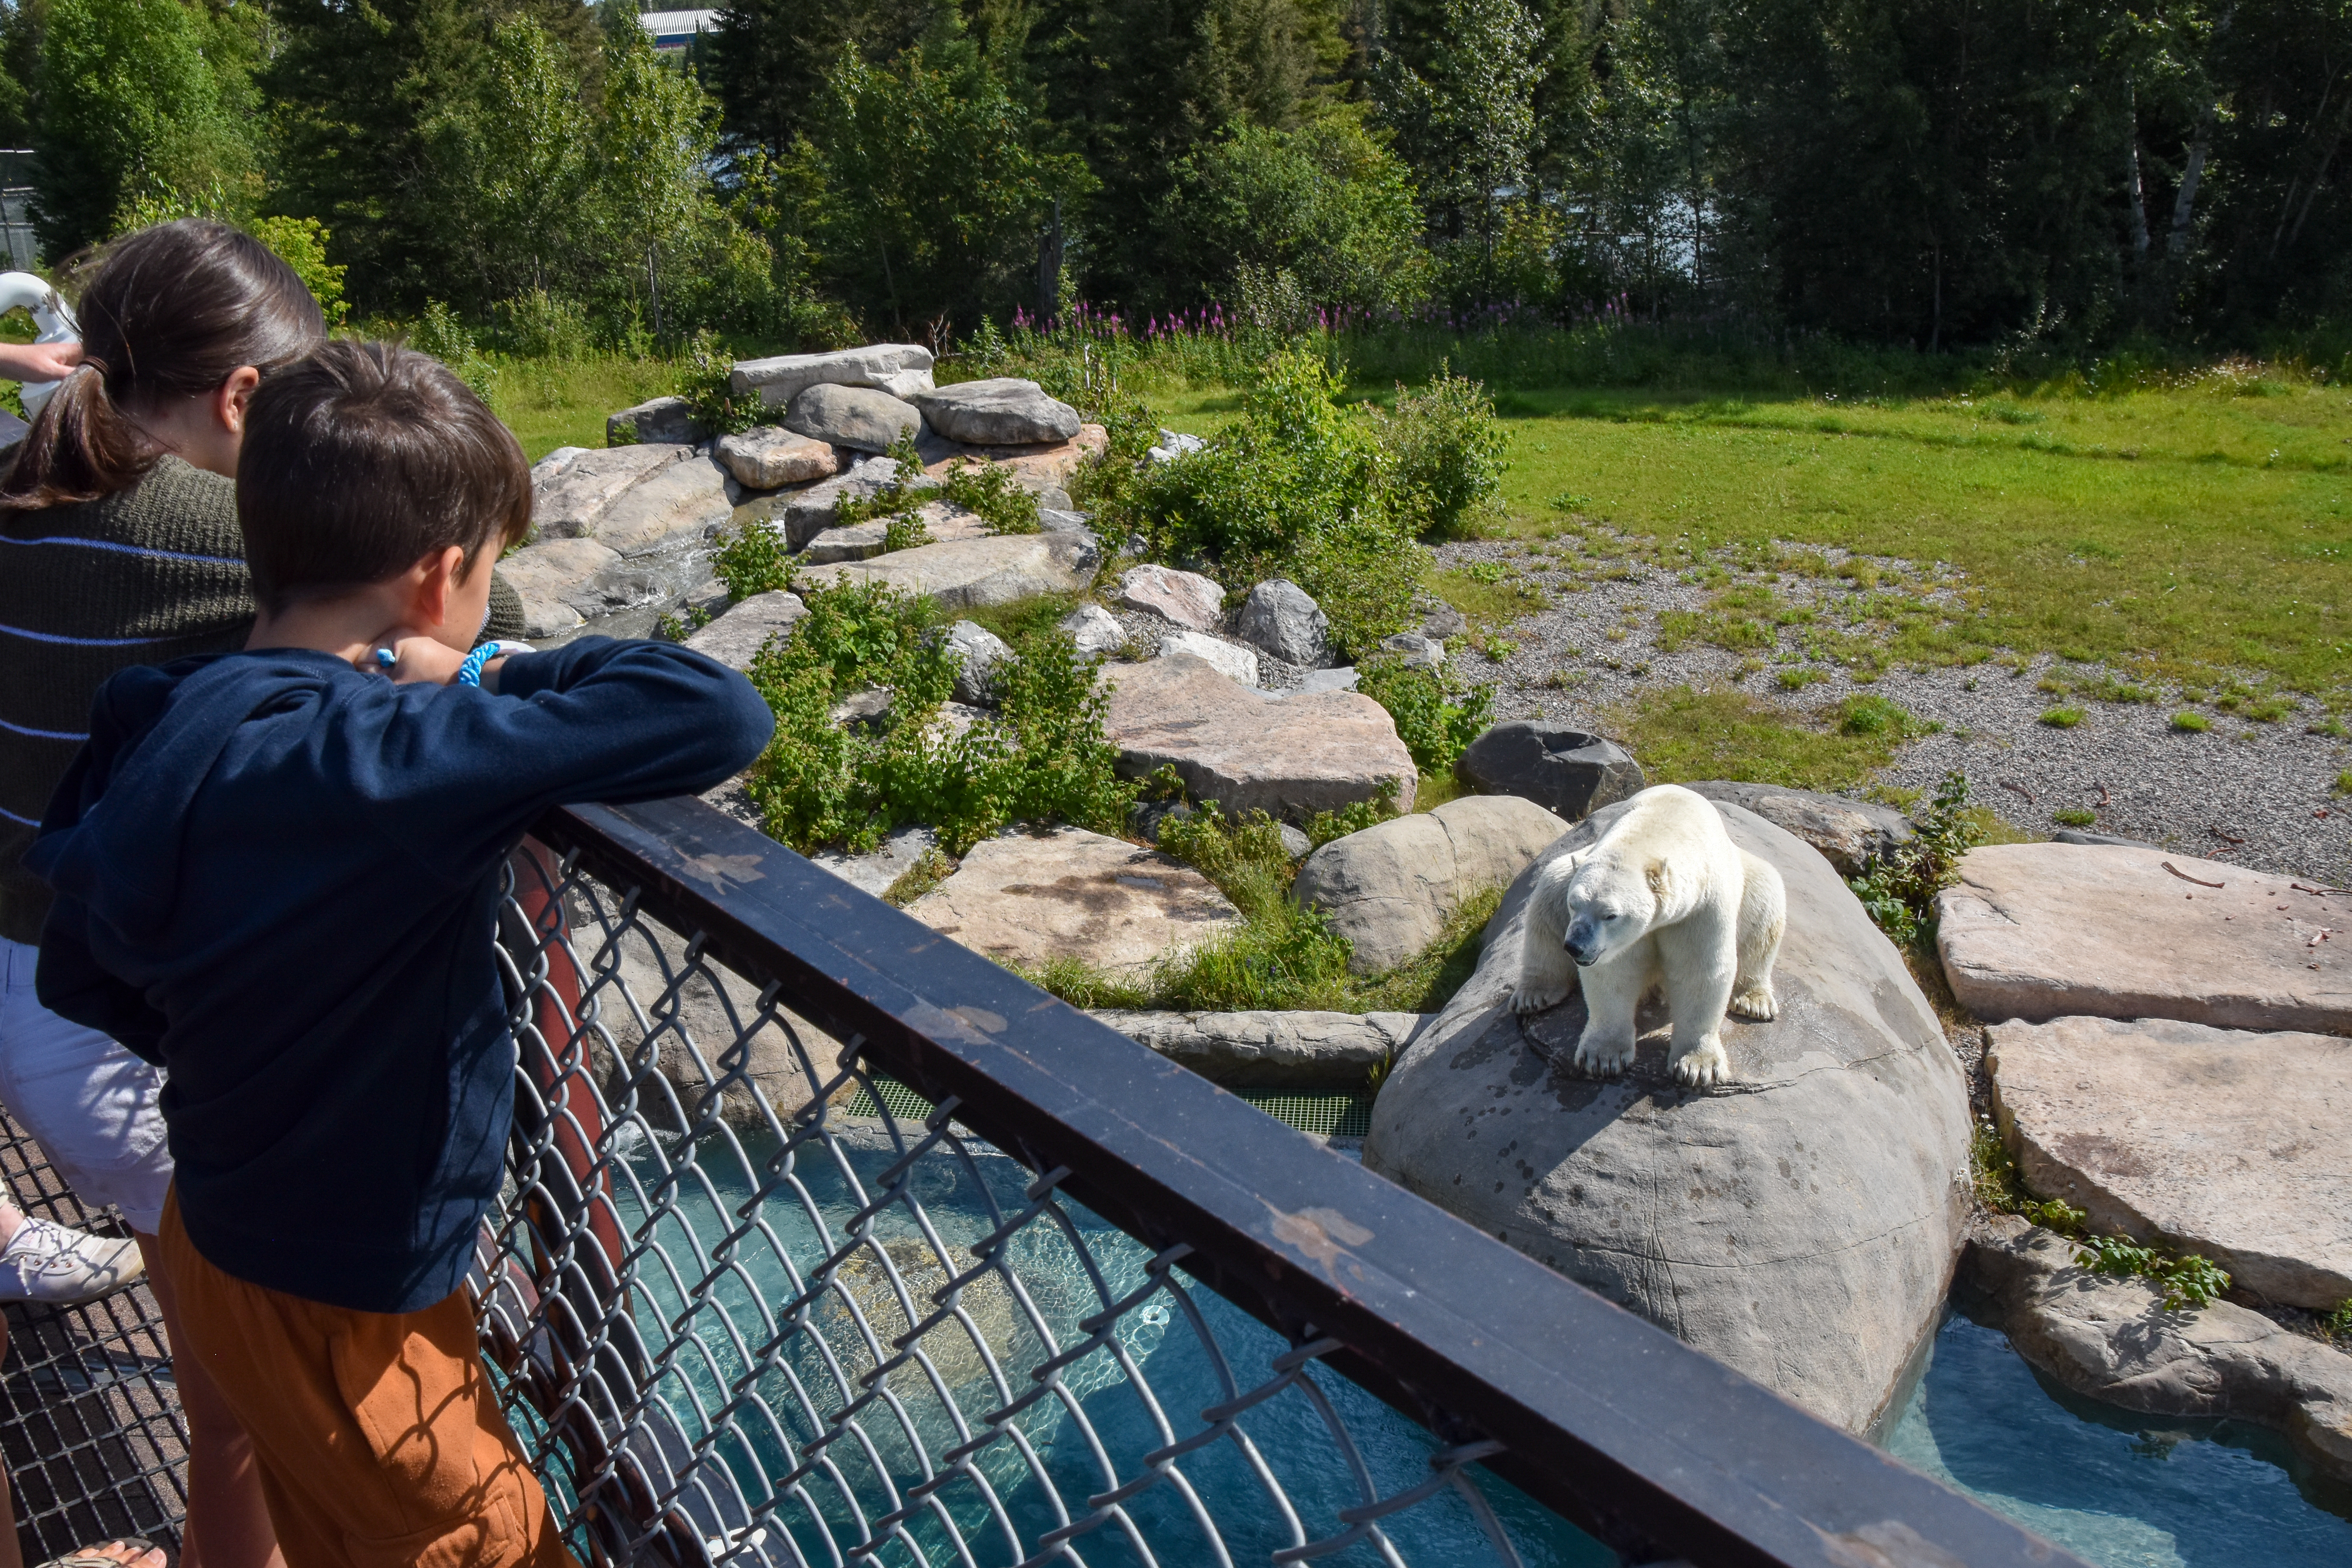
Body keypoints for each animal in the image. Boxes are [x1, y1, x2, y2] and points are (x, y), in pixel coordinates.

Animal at [1515, 790, 1787, 1086]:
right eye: (1574, 904)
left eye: (1610, 915)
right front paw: (1603, 1058)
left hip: (1751, 882)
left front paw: (1697, 1066)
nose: (1575, 947)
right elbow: (1614, 973)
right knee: (1548, 893)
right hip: (1567, 873)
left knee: (1766, 906)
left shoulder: (1700, 908)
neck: (1661, 824)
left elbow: (1699, 972)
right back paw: (1534, 995)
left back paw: (1754, 1002)